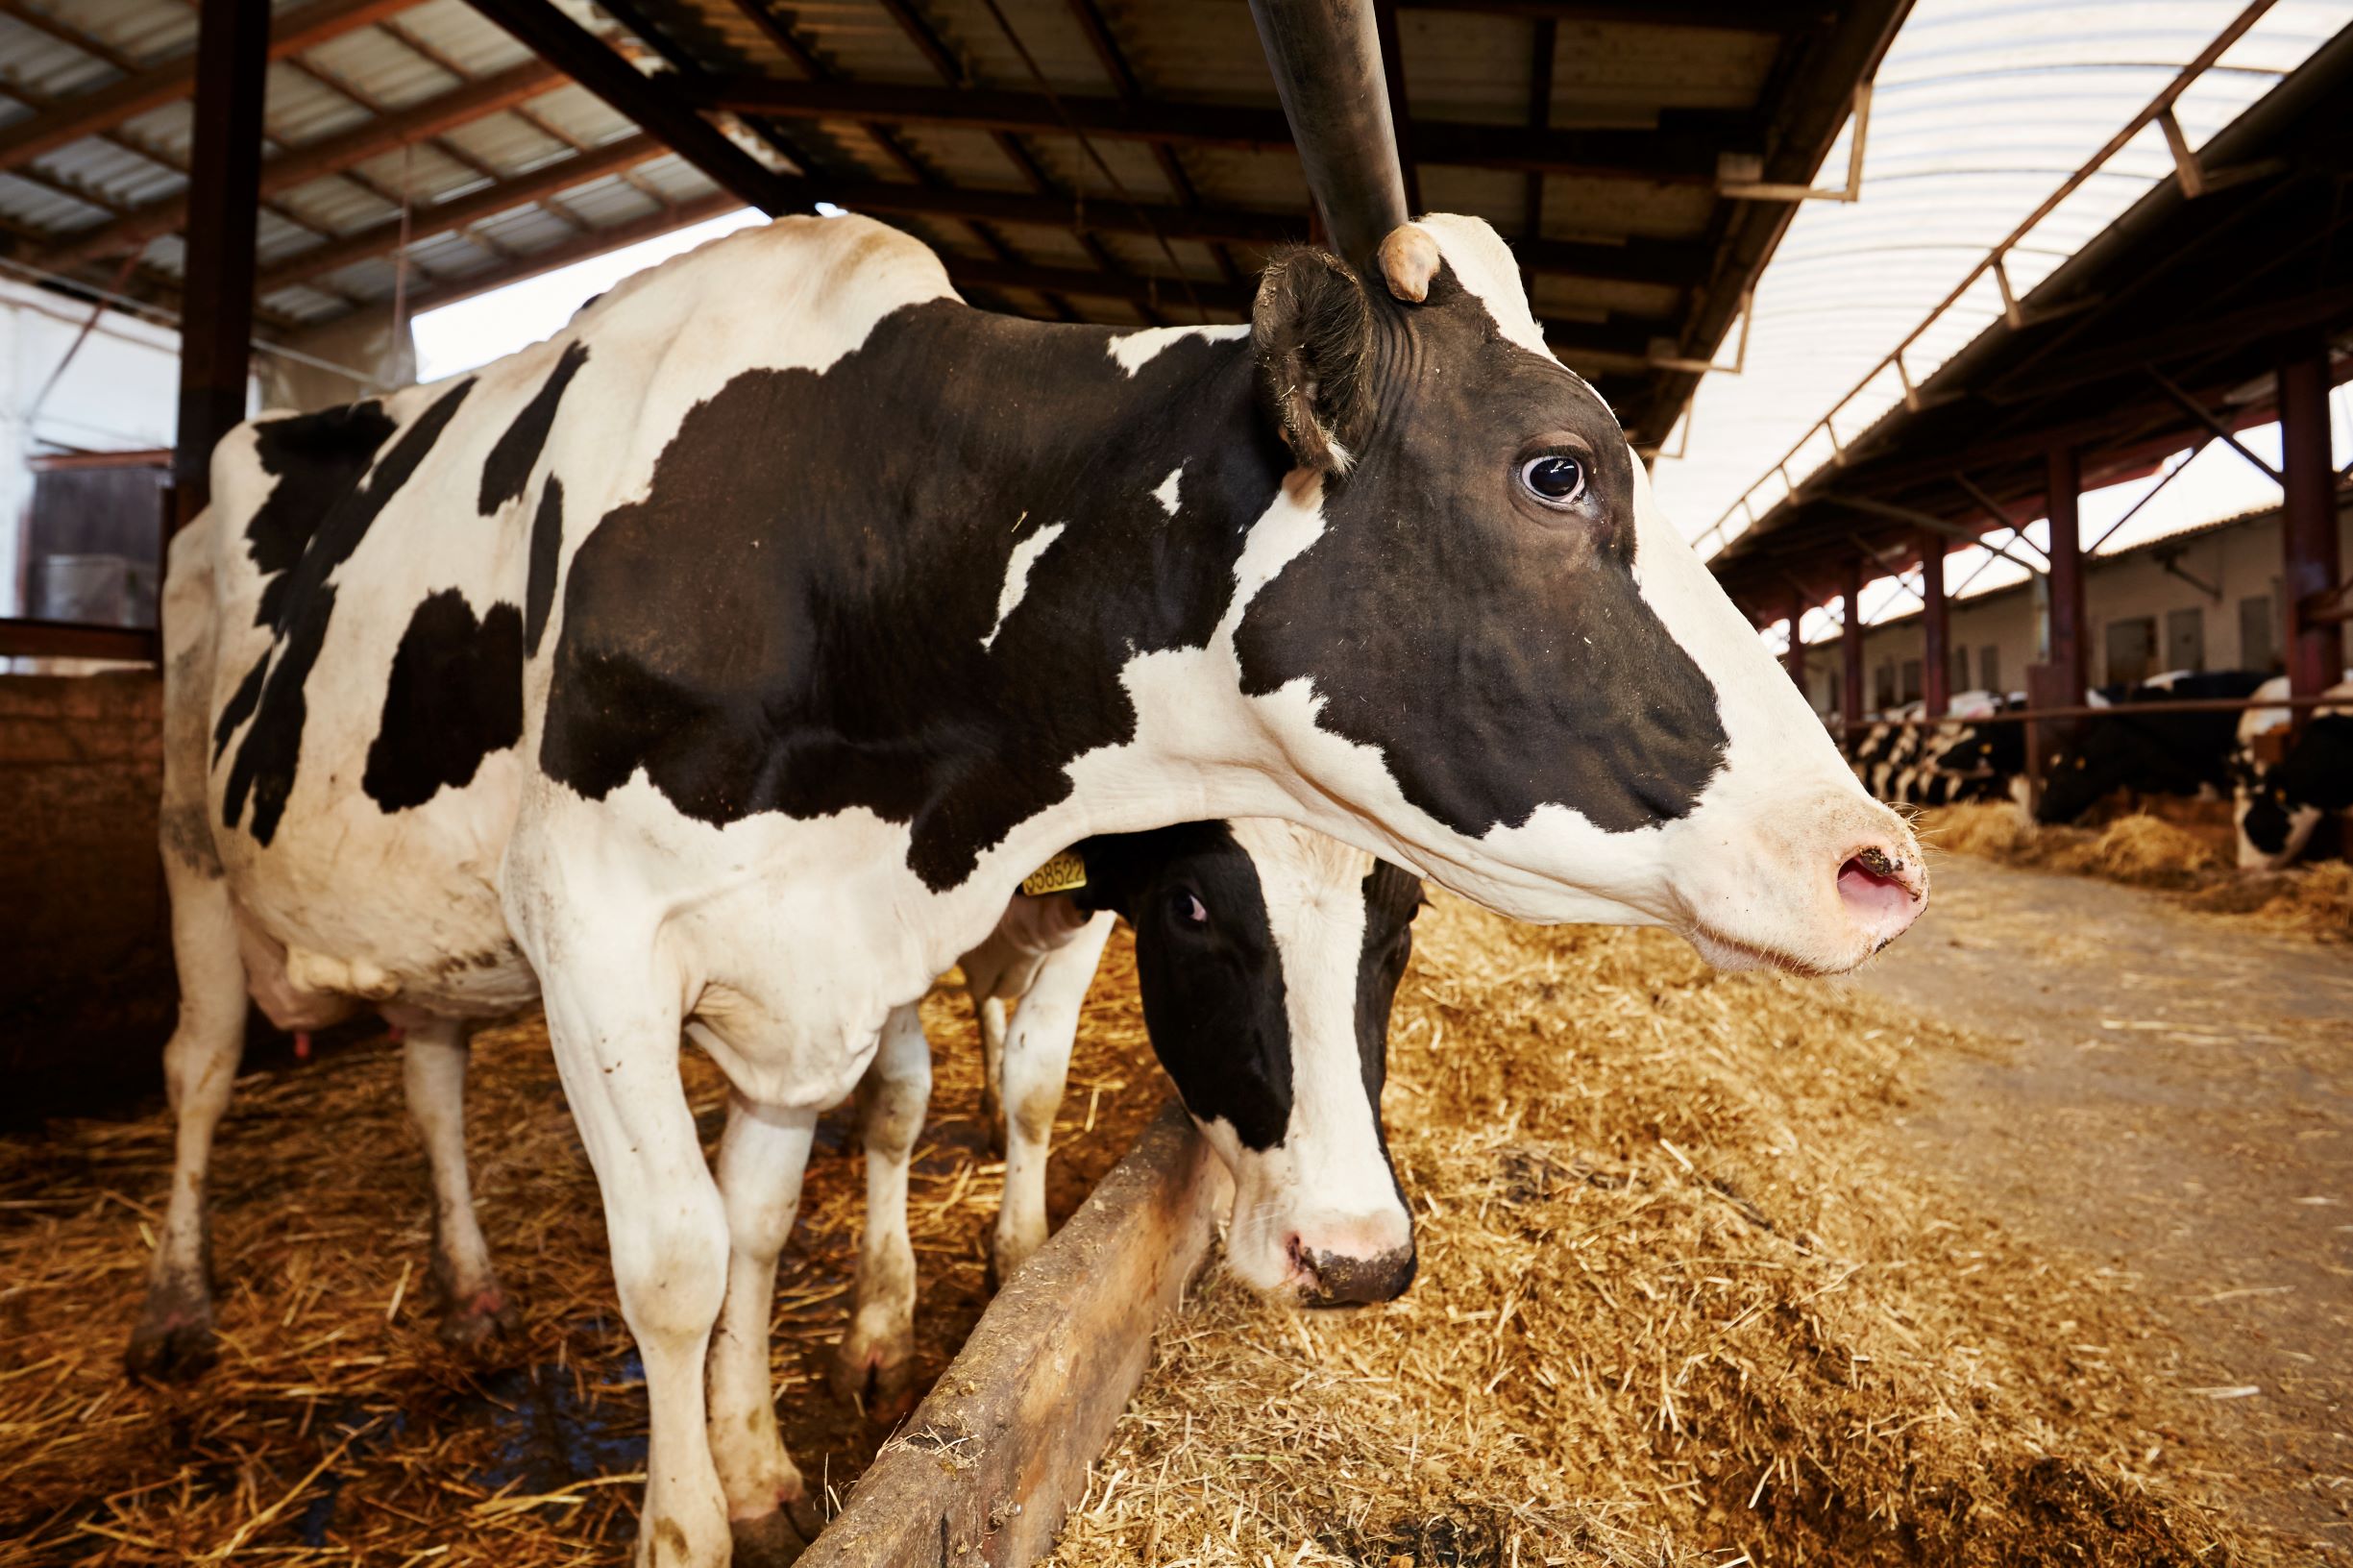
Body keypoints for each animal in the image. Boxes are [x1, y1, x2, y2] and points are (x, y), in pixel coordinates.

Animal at [147, 213, 1920, 1554]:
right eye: (1556, 473)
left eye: (1399, 924)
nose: (1875, 864)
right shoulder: (593, 923)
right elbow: (673, 1257)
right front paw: (688, 1520)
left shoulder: (818, 957)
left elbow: (763, 1216)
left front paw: (762, 1464)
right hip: (193, 841)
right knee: (202, 1060)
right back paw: (183, 1302)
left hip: (431, 928)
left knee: (430, 1063)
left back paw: (469, 1297)